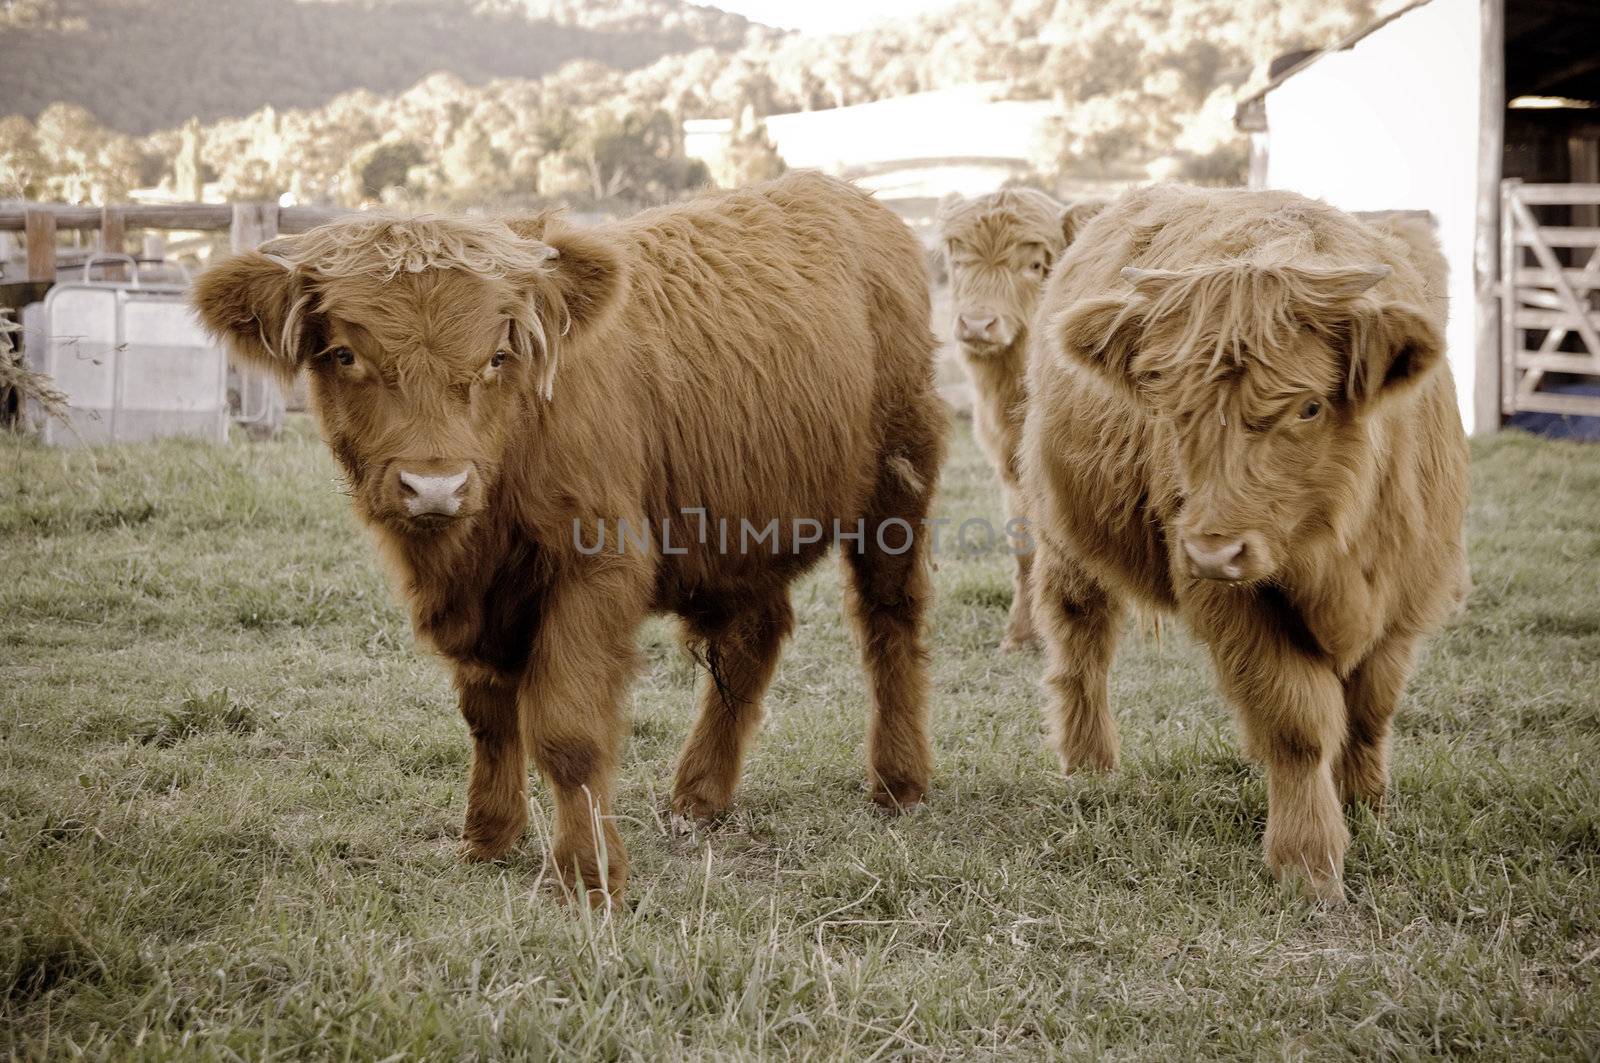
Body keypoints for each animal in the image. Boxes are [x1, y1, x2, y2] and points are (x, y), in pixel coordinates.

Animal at [192, 170, 940, 902]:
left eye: (498, 356)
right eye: (345, 353)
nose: (434, 485)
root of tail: (856, 201)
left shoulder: (598, 566)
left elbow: (566, 728)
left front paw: (586, 873)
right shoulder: (479, 596)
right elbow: (487, 712)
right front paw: (488, 835)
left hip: (897, 488)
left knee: (889, 619)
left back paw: (898, 781)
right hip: (743, 526)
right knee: (754, 637)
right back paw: (700, 794)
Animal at [934, 191, 1100, 653]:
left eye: (1035, 264)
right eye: (959, 260)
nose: (977, 323)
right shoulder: (1011, 470)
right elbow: (1024, 547)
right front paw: (1022, 634)